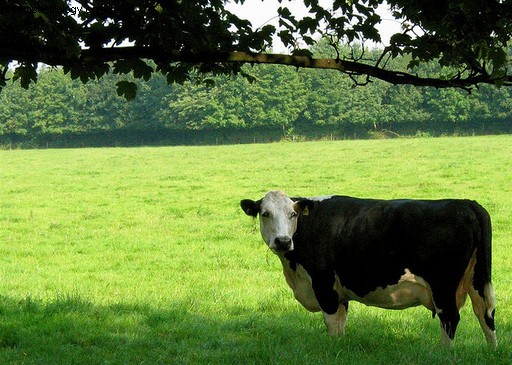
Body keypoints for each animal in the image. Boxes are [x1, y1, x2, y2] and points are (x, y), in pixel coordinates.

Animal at [240, 189, 496, 346]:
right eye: (265, 213)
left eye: (293, 214)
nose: (283, 241)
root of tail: (465, 203)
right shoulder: (339, 293)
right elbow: (341, 323)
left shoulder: (324, 286)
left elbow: (331, 324)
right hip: (477, 279)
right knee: (485, 313)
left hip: (443, 285)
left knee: (451, 318)